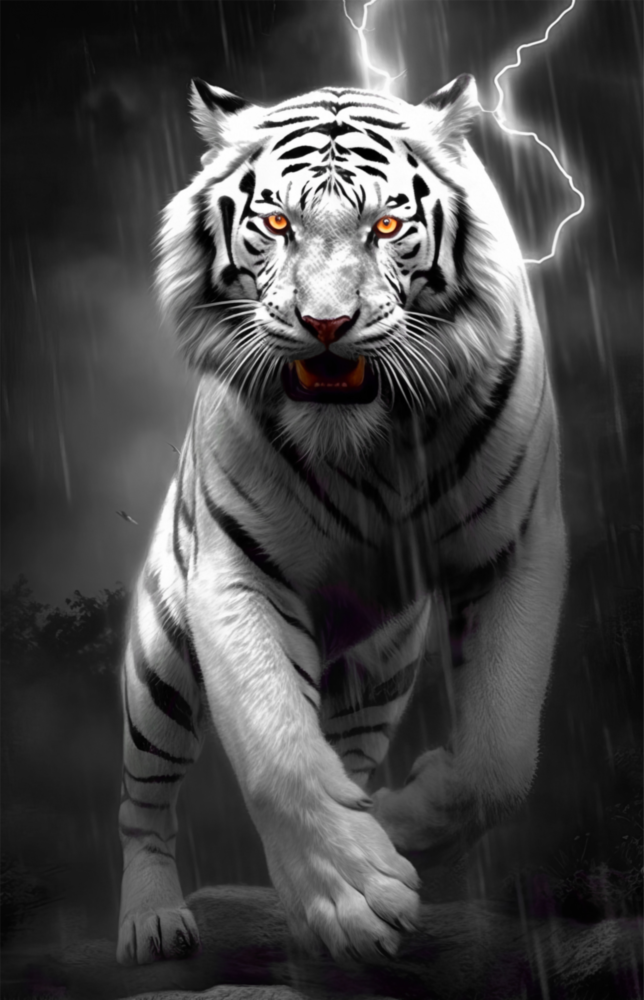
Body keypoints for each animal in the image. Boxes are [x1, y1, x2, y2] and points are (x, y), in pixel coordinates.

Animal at [116, 75, 567, 967]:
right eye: (277, 224)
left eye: (385, 226)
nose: (327, 325)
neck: (370, 441)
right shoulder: (237, 571)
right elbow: (277, 747)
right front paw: (353, 896)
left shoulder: (514, 546)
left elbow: (500, 758)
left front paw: (394, 825)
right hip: (160, 659)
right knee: (142, 802)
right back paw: (152, 918)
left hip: (381, 670)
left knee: (350, 750)